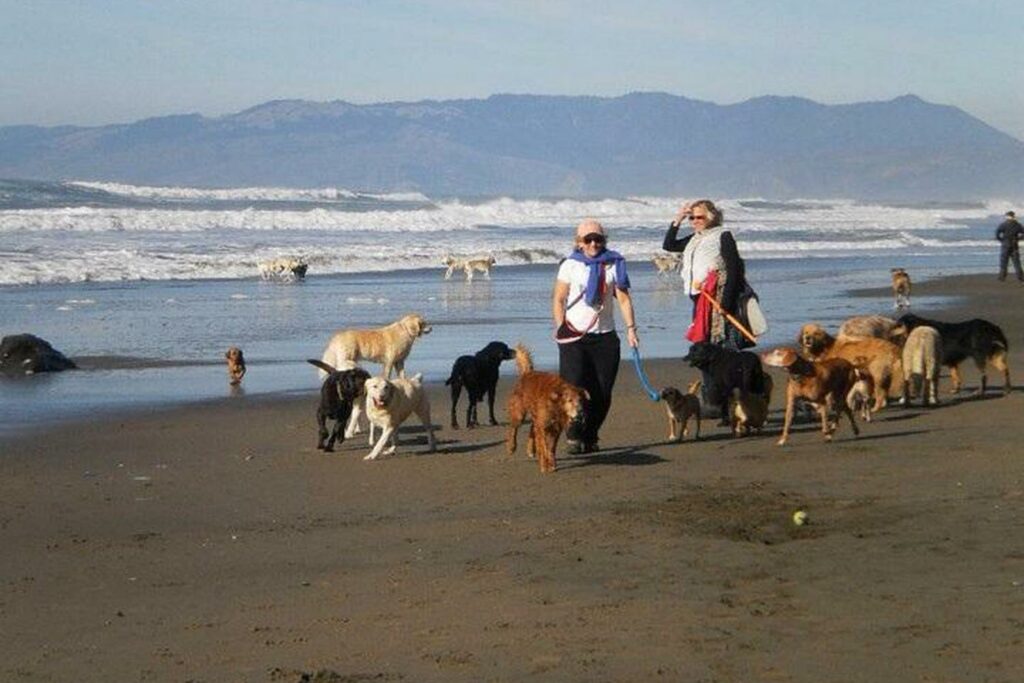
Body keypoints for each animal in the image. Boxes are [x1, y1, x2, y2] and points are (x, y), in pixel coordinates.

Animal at [505, 344, 589, 473]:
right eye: (569, 401)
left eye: (580, 400)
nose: (580, 412)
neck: (555, 405)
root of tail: (527, 372)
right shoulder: (544, 426)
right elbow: (544, 446)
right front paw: (545, 465)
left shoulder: (556, 428)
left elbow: (551, 448)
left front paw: (551, 463)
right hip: (519, 413)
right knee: (513, 428)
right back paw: (511, 447)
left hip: (536, 416)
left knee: (532, 428)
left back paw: (531, 449)